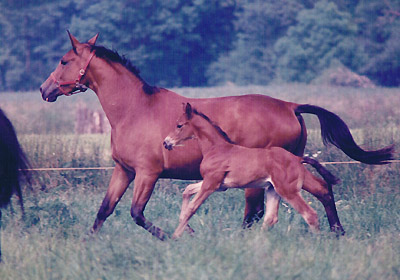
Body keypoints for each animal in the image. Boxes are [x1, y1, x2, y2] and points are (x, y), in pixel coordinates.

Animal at [163, 104, 340, 240]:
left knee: (310, 214)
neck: (216, 148)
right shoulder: (218, 185)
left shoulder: (210, 184)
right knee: (271, 218)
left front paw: (175, 236)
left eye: (179, 125)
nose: (166, 142)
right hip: (273, 189)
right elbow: (187, 191)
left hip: (288, 190)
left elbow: (192, 208)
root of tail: (297, 159)